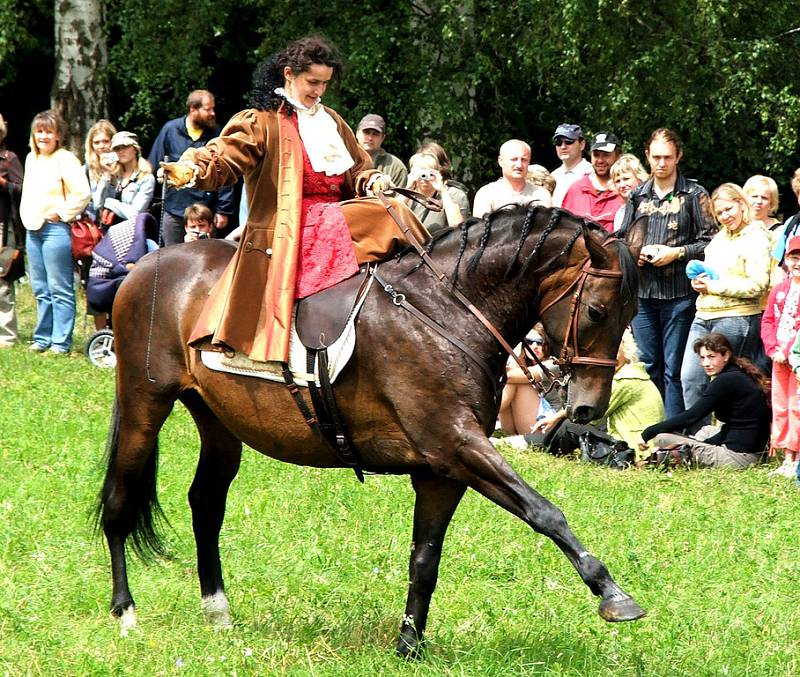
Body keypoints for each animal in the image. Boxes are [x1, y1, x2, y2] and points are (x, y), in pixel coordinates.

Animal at [98, 206, 648, 656]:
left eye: (631, 314)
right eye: (597, 310)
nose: (587, 407)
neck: (446, 311)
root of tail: (146, 265)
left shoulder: (443, 471)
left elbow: (425, 558)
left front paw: (409, 645)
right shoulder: (460, 446)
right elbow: (546, 512)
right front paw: (613, 594)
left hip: (218, 422)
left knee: (206, 504)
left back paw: (217, 609)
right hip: (145, 404)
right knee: (121, 501)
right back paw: (125, 611)